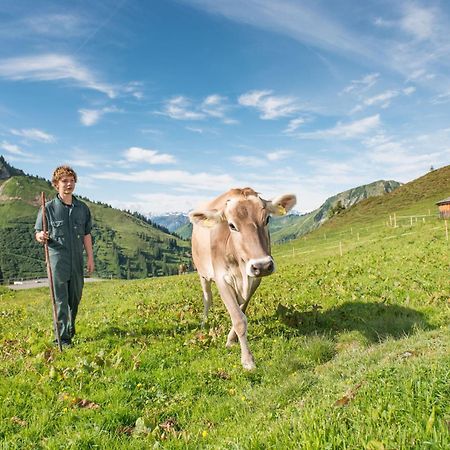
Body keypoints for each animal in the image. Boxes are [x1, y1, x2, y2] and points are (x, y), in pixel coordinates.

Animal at [189, 187, 298, 370]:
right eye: (232, 225)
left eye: (267, 219)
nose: (262, 265)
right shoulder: (221, 279)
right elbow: (239, 318)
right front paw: (247, 360)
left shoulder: (255, 280)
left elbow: (241, 310)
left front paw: (231, 339)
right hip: (202, 273)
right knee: (207, 298)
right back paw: (204, 322)